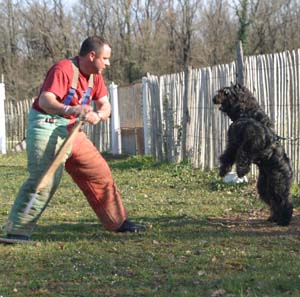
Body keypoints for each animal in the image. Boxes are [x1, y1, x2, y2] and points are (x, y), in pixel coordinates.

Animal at [213, 82, 292, 225]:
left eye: (225, 92)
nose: (214, 98)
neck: (246, 113)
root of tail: (290, 171)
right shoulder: (234, 142)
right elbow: (229, 155)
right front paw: (225, 170)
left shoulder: (248, 142)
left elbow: (240, 155)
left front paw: (239, 171)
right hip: (265, 186)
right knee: (273, 201)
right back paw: (274, 217)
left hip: (278, 184)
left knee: (284, 201)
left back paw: (284, 219)